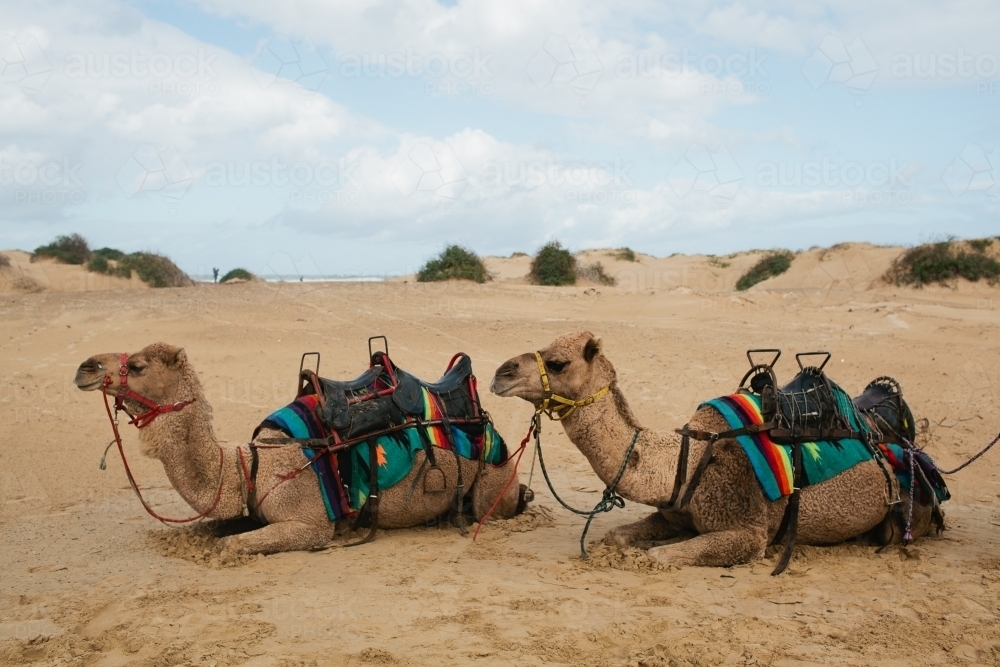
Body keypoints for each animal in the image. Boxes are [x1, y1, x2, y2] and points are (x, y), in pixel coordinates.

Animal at [75, 344, 528, 552]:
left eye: (137, 366)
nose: (85, 367)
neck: (250, 467)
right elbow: (210, 529)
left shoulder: (309, 523)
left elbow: (230, 545)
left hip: (494, 482)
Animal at [492, 334, 936, 568]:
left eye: (557, 362)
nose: (501, 372)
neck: (684, 461)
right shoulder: (673, 512)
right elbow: (619, 537)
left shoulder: (749, 530)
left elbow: (659, 557)